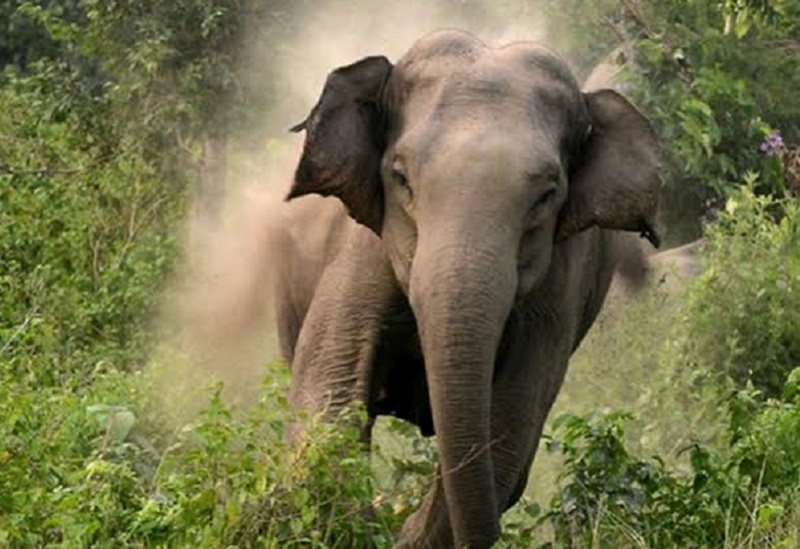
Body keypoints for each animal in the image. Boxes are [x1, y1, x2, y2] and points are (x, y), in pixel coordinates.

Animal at [276, 29, 662, 548]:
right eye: (400, 177)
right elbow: (327, 395)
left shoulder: (557, 288)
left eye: (546, 195)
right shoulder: (361, 251)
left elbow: (510, 431)